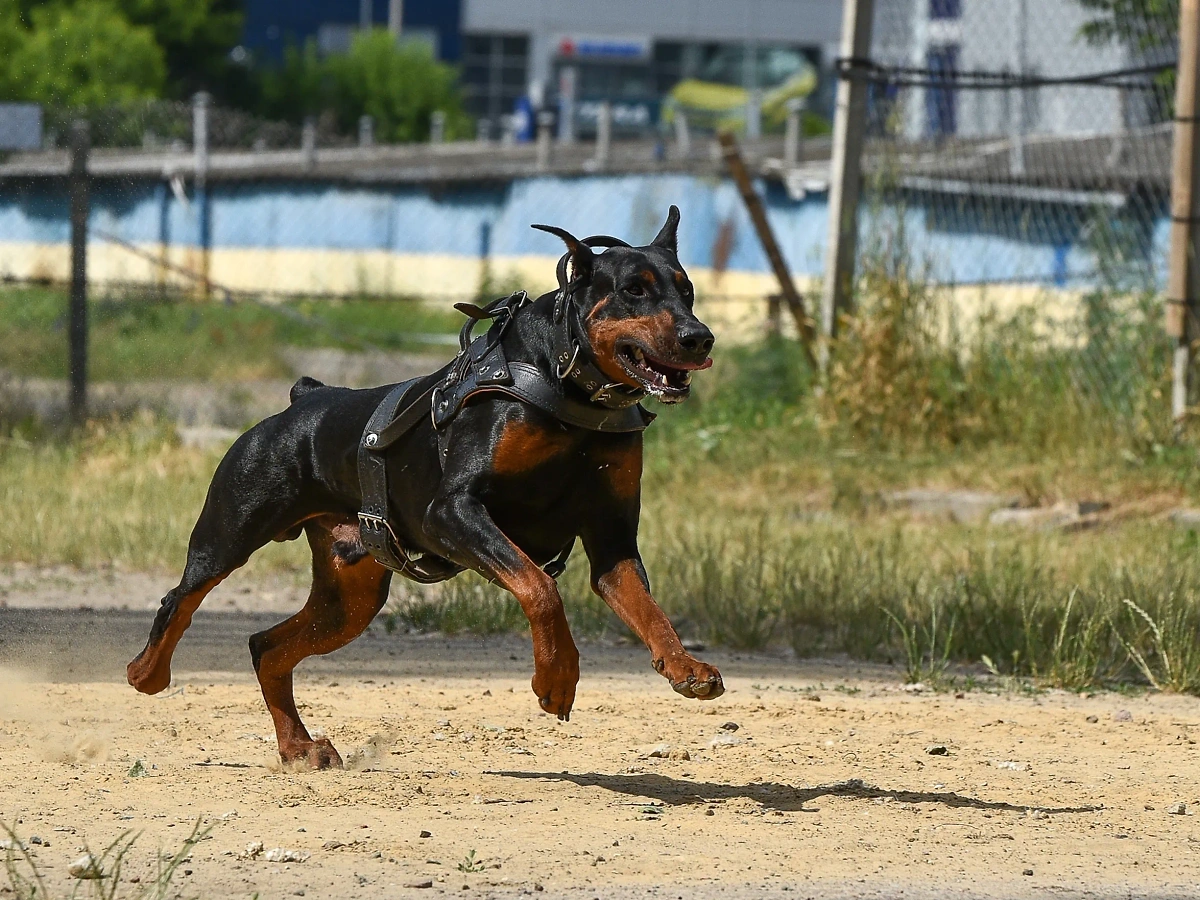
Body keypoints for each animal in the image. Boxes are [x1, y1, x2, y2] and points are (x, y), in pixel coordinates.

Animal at [124, 207, 720, 772]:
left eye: (686, 290)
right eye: (634, 289)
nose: (700, 337)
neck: (569, 389)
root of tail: (304, 399)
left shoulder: (612, 537)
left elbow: (644, 605)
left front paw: (685, 666)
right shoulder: (451, 511)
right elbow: (538, 588)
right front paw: (556, 677)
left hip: (350, 599)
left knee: (266, 646)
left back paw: (299, 747)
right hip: (232, 528)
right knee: (181, 598)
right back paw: (146, 672)